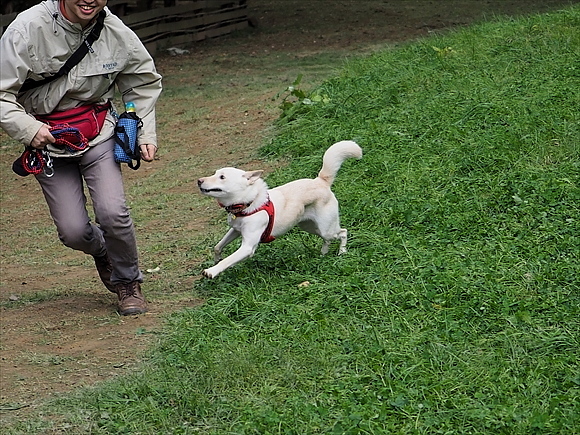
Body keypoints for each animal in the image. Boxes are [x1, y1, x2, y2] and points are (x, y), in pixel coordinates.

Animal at [199, 141, 362, 280]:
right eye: (215, 173)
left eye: (222, 177)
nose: (199, 181)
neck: (248, 203)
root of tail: (321, 181)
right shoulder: (236, 230)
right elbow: (217, 247)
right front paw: (216, 259)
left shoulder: (247, 247)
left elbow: (227, 261)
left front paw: (212, 271)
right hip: (310, 227)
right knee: (327, 239)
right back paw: (323, 254)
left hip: (326, 227)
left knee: (343, 232)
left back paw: (342, 252)